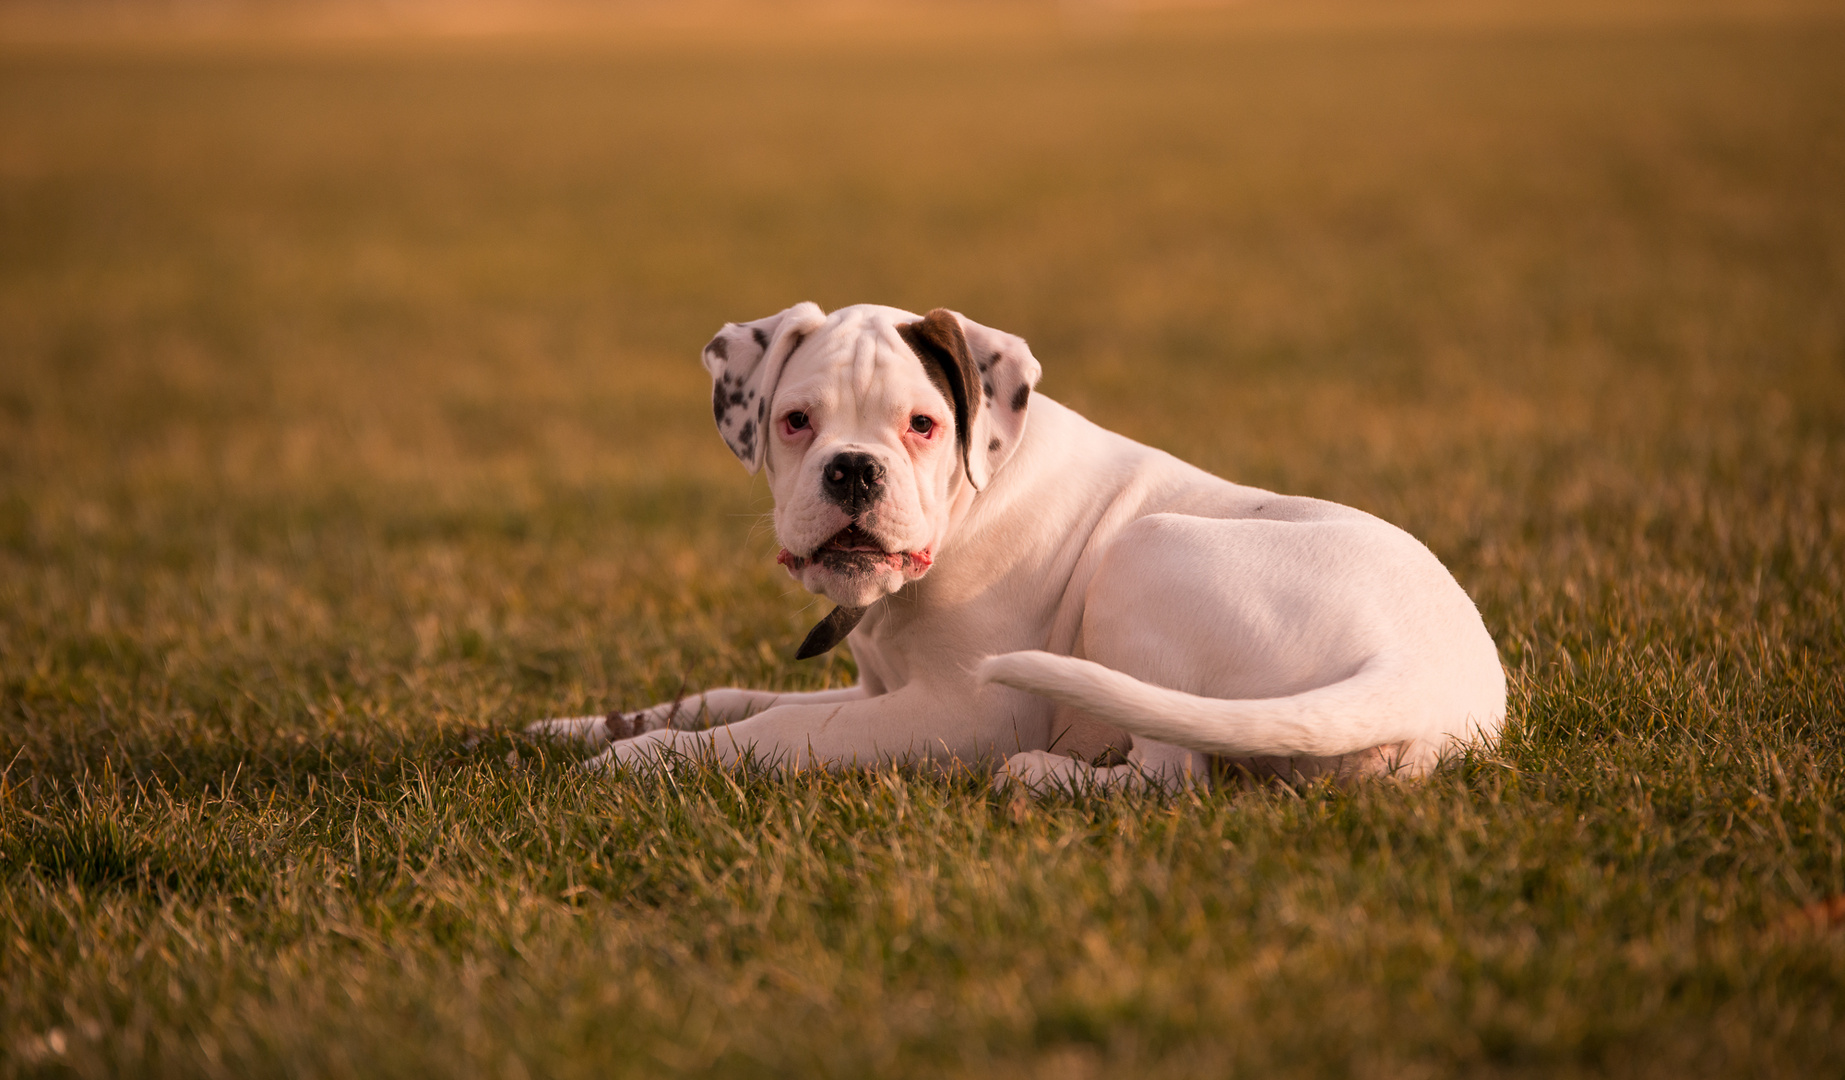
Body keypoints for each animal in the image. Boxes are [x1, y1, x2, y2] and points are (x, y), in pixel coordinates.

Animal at [527, 299, 1505, 786]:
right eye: (795, 422)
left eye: (922, 425)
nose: (852, 471)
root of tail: (1416, 668)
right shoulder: (881, 686)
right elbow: (723, 697)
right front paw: (573, 727)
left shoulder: (959, 709)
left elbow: (778, 729)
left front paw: (644, 760)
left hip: (1145, 552)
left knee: (1170, 775)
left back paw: (1041, 776)